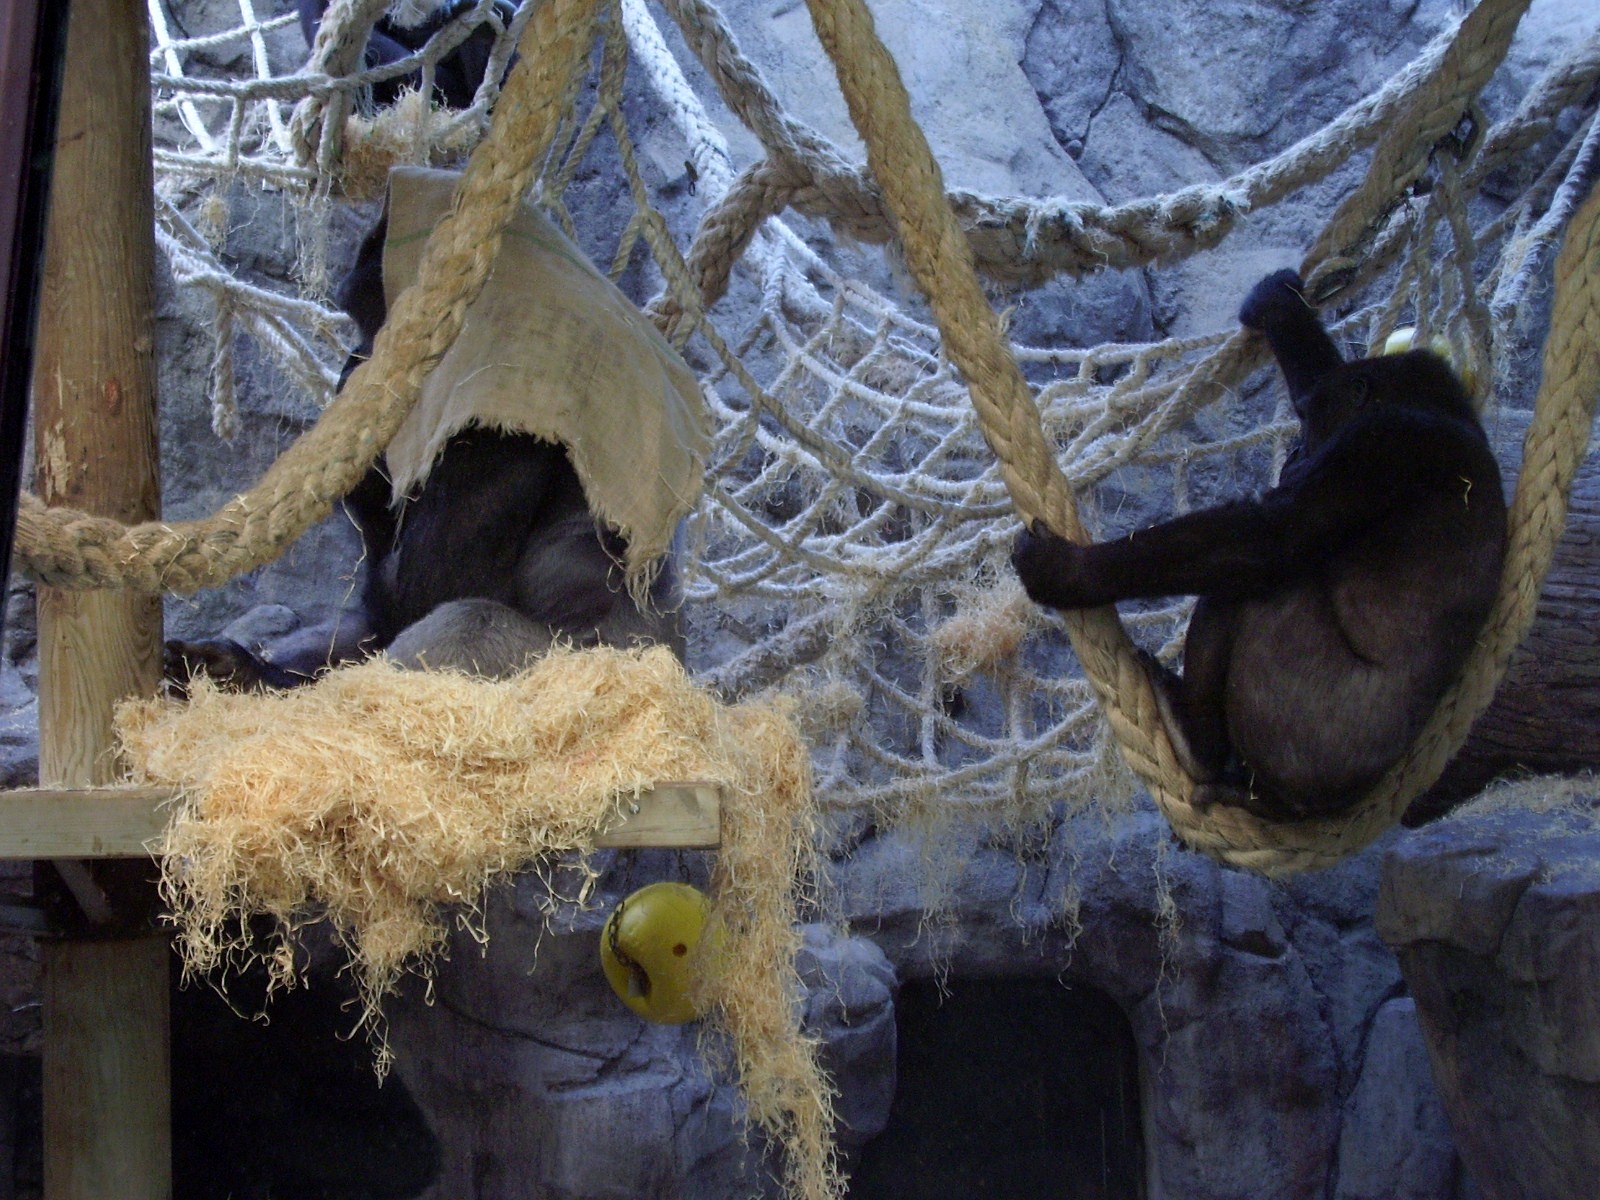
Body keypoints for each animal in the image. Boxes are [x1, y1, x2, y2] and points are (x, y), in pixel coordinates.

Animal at [1011, 269, 1507, 821]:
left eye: (1308, 424)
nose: (1292, 456)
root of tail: (1310, 810)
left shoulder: (1383, 443)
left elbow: (1268, 537)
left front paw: (1066, 572)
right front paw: (1278, 303)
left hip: (1305, 732)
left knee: (1254, 584)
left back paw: (1196, 741)